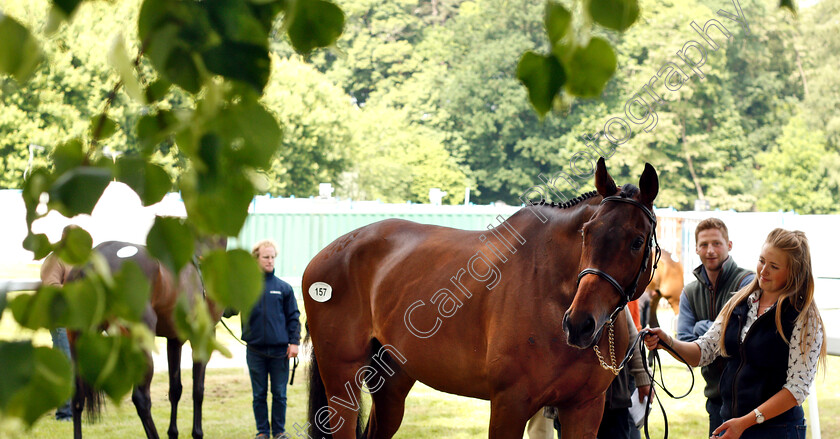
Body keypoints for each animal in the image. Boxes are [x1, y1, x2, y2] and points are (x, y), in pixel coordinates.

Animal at [69, 239, 225, 438]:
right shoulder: (203, 337)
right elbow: (198, 389)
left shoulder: (174, 339)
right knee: (141, 398)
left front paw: (173, 433)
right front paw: (197, 432)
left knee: (77, 397)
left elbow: (175, 389)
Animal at [304, 159, 664, 439]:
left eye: (637, 241)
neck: (551, 290)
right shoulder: (509, 404)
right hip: (342, 379)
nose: (579, 324)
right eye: (587, 233)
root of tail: (330, 252)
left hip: (391, 383)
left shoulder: (584, 408)